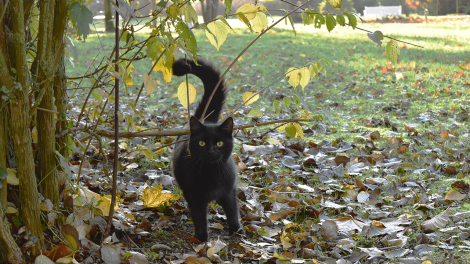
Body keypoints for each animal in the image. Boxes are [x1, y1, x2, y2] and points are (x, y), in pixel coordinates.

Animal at [171, 57, 241, 241]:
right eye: (202, 143)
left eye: (219, 144)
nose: (211, 151)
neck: (212, 173)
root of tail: (205, 118)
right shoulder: (194, 196)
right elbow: (199, 216)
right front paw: (201, 237)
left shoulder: (229, 191)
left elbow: (233, 211)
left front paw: (237, 230)